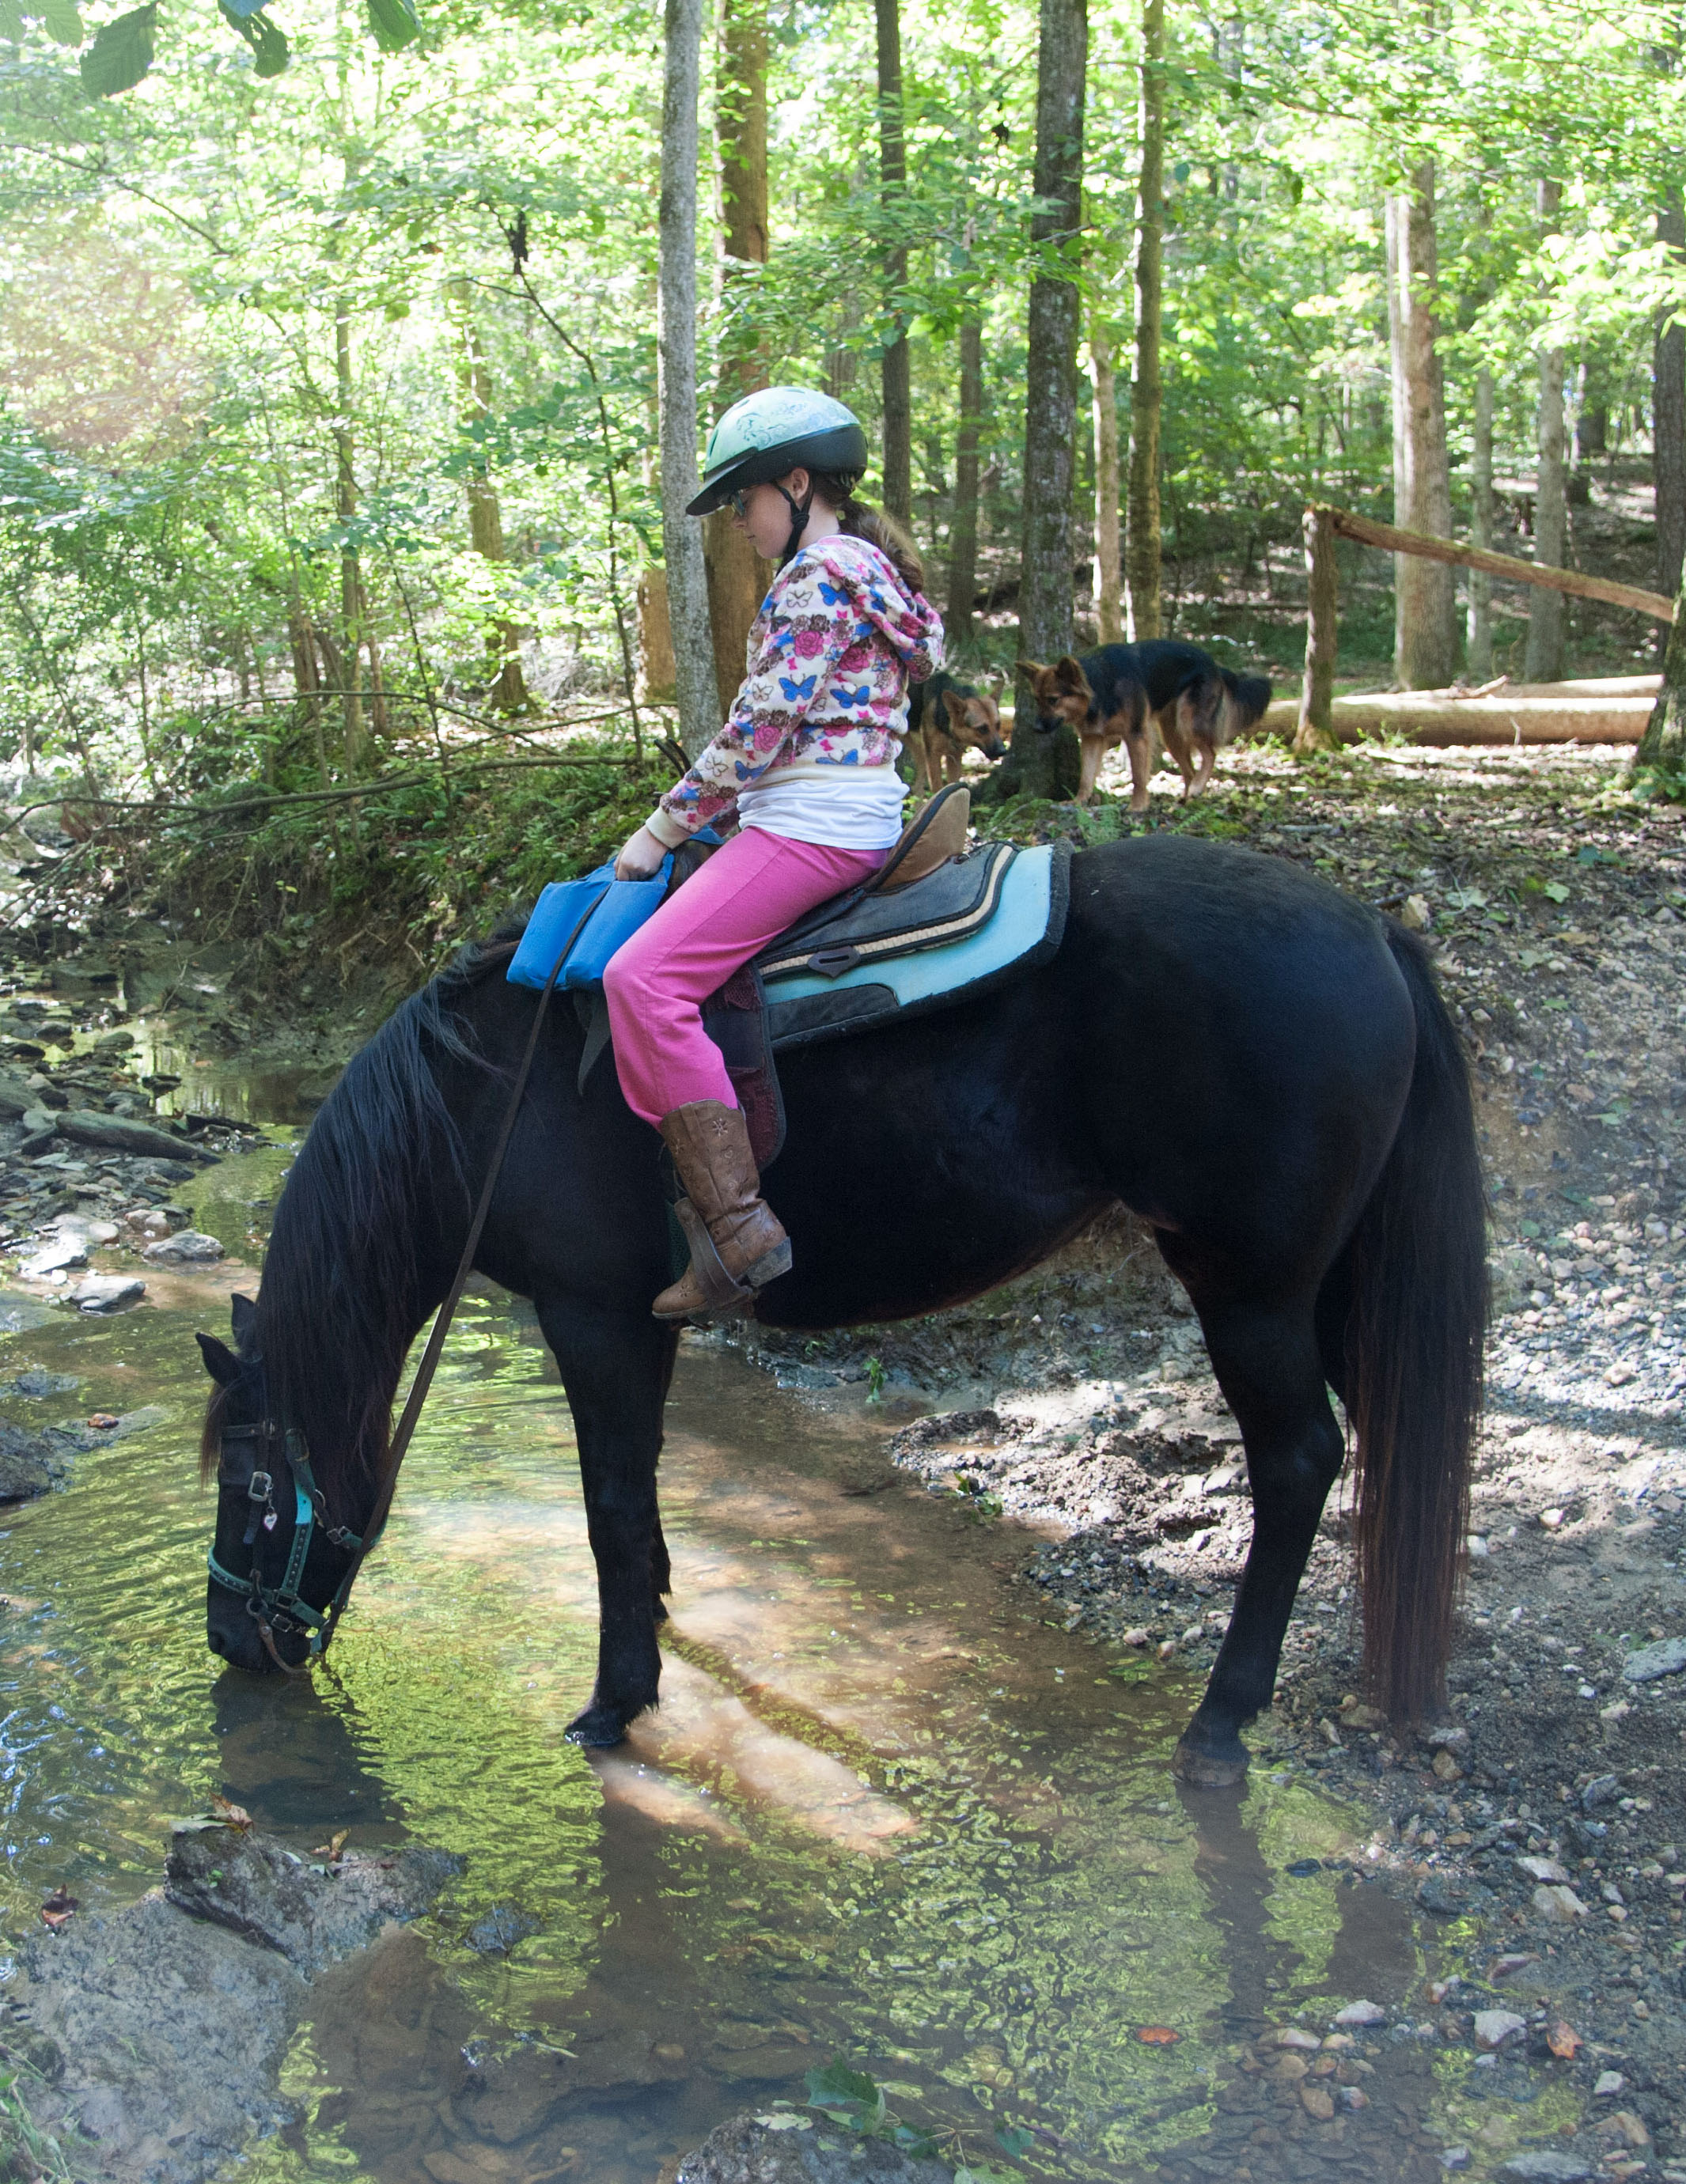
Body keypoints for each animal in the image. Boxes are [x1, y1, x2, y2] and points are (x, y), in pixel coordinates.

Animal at [200, 825, 1485, 1781]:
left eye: (252, 1481)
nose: (231, 1641)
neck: (486, 1103)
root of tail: (1372, 927)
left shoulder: (591, 1314)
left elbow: (608, 1506)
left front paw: (613, 1702)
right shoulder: (645, 1317)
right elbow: (642, 1500)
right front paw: (652, 1641)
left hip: (1248, 1286)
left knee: (1297, 1461)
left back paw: (1219, 1721)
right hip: (1322, 1285)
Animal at [904, 672, 1009, 804]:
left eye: (998, 725)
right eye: (982, 728)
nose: (1002, 751)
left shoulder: (954, 756)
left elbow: (954, 787)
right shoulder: (933, 757)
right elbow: (938, 789)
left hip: (920, 753)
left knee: (917, 787)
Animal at [1021, 638, 1275, 812]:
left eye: (1053, 700)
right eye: (1037, 699)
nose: (1035, 728)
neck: (1100, 684)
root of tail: (1213, 664)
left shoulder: (1136, 735)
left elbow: (1138, 776)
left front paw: (1138, 806)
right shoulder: (1092, 739)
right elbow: (1086, 776)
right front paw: (1078, 802)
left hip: (1189, 723)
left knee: (1210, 754)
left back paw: (1197, 788)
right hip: (1172, 736)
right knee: (1190, 770)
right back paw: (1186, 799)